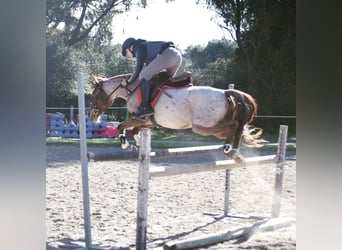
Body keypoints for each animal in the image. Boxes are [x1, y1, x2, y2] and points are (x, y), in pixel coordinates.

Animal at [88, 71, 264, 163]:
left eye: (94, 94)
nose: (91, 116)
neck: (133, 89)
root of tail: (226, 93)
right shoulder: (148, 121)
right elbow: (136, 130)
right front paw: (137, 143)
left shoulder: (139, 117)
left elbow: (121, 126)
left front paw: (126, 145)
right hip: (212, 128)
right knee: (237, 129)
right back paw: (234, 152)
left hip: (201, 126)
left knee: (234, 126)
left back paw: (229, 149)